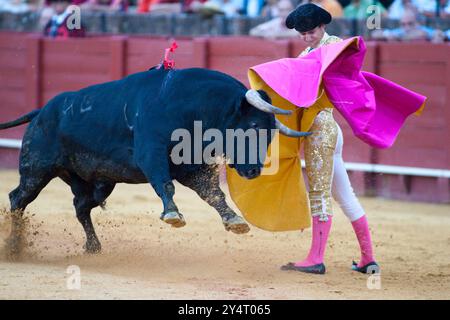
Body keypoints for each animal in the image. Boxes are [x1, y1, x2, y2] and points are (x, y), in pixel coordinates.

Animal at [0, 67, 310, 252]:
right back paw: (14, 246)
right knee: (18, 198)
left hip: (99, 182)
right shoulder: (152, 154)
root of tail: (41, 110)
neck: (190, 107)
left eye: (271, 133)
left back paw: (93, 246)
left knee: (80, 207)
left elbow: (213, 194)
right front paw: (172, 214)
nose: (254, 170)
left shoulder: (192, 167)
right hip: (36, 168)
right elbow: (165, 184)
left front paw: (234, 220)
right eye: (254, 126)